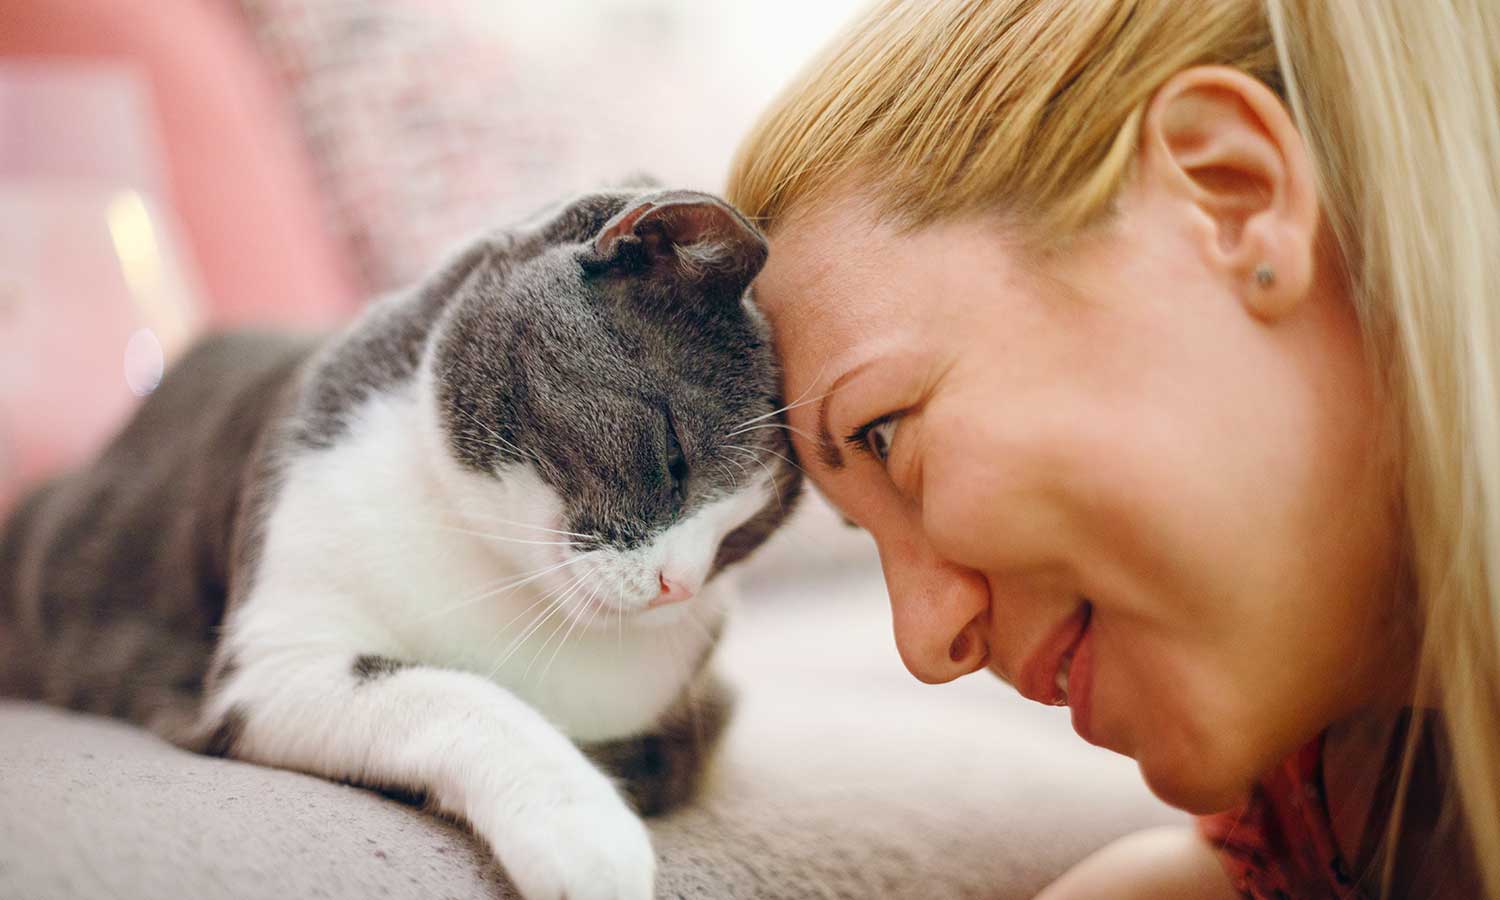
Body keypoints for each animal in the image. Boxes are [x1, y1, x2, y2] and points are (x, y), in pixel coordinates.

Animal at [0, 186, 804, 894]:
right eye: (675, 459)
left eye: (742, 538)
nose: (679, 585)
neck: (496, 573)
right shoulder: (274, 664)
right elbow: (456, 695)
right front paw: (586, 834)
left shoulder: (700, 703)